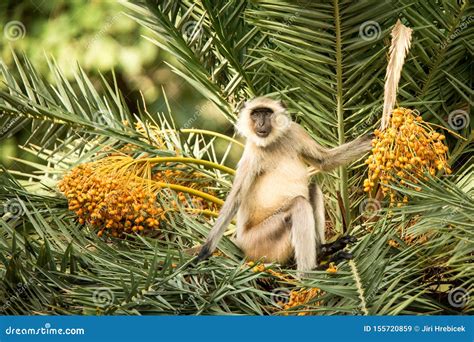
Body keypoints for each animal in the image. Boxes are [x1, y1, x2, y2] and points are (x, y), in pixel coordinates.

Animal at [194, 96, 372, 272]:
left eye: (266, 113)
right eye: (256, 114)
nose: (260, 123)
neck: (272, 142)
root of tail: (241, 242)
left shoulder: (295, 131)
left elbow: (325, 161)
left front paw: (373, 138)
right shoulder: (252, 151)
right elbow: (235, 199)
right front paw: (204, 252)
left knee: (312, 188)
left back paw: (322, 249)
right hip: (259, 243)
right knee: (299, 204)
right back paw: (310, 271)